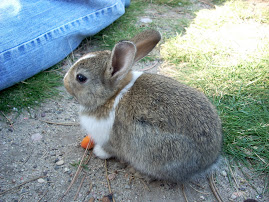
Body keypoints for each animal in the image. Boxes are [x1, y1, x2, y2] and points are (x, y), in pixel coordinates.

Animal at [63, 29, 222, 182]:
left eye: (80, 78)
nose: (64, 82)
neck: (111, 96)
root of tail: (208, 162)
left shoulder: (109, 139)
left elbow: (108, 150)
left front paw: (98, 151)